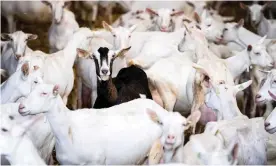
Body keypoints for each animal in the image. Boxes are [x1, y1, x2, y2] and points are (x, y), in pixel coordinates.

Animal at [18, 83, 192, 165]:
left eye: (44, 93)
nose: (21, 107)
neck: (69, 128)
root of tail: (157, 107)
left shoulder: (96, 162)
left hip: (158, 153)